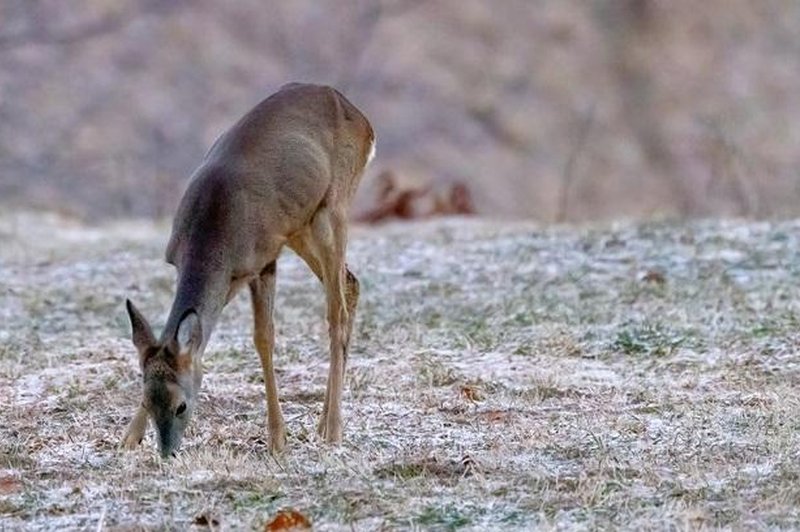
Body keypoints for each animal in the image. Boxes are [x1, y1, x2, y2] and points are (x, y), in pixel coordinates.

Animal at [121, 83, 376, 458]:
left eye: (182, 406)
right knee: (351, 282)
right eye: (148, 402)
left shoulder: (262, 261)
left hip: (334, 207)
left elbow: (263, 337)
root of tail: (362, 119)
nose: (168, 453)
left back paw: (333, 431)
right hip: (301, 224)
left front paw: (277, 439)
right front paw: (129, 438)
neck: (212, 235)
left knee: (337, 311)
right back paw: (321, 424)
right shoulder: (228, 276)